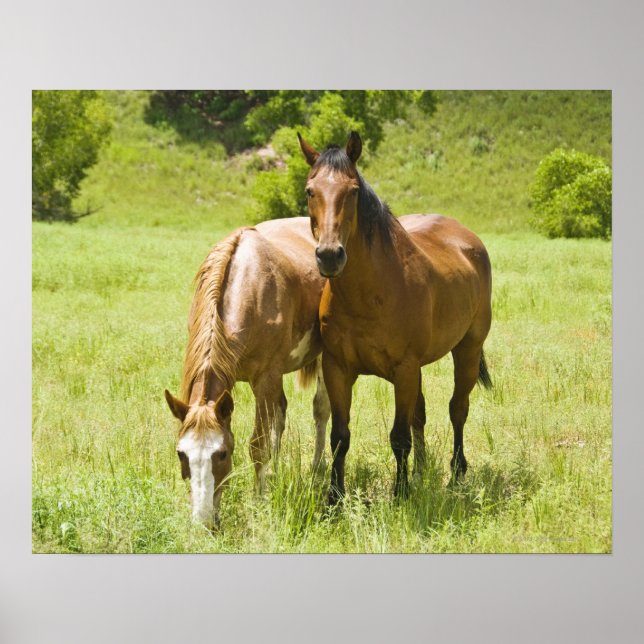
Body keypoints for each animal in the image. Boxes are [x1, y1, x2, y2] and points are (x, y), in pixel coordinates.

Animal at [164, 217, 331, 528]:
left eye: (222, 454)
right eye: (182, 454)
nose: (203, 522)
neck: (250, 290)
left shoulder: (265, 378)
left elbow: (257, 445)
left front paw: (259, 499)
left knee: (321, 410)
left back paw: (317, 468)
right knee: (281, 412)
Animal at [297, 131, 493, 503]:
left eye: (352, 190)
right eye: (310, 190)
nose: (329, 256)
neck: (370, 294)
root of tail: (469, 240)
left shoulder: (404, 370)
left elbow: (399, 436)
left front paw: (400, 494)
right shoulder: (337, 368)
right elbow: (340, 436)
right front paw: (335, 498)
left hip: (467, 349)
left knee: (457, 409)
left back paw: (456, 473)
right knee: (422, 414)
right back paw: (421, 471)